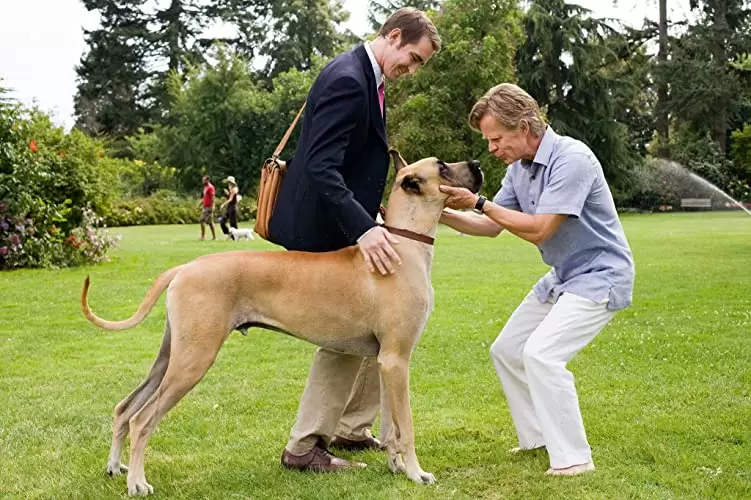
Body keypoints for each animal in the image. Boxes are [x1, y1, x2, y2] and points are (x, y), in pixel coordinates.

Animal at [81, 151, 482, 496]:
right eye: (442, 168)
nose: (478, 164)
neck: (403, 245)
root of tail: (184, 267)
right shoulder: (397, 359)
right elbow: (408, 425)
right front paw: (417, 473)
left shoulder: (387, 362)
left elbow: (392, 426)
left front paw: (397, 467)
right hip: (193, 359)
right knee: (142, 420)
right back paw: (137, 482)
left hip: (171, 356)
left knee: (125, 408)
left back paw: (116, 467)